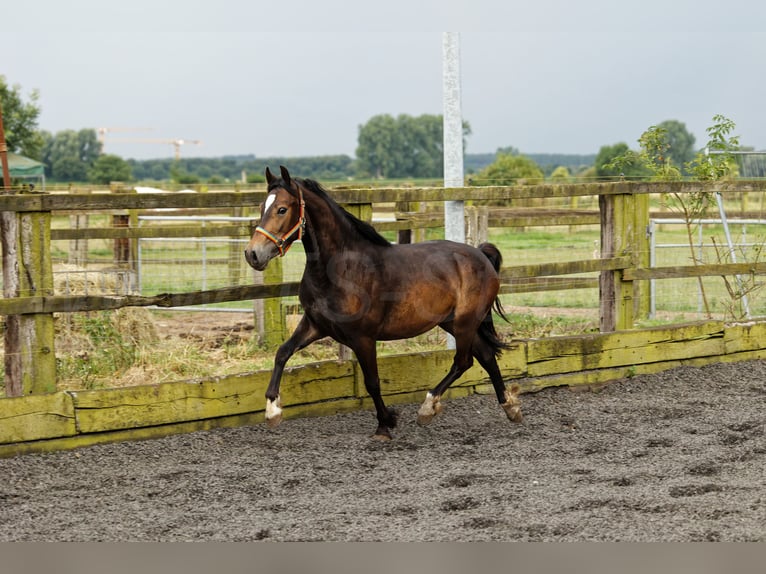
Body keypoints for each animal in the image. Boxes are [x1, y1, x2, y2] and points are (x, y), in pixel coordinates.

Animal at [246, 166, 520, 440]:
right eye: (261, 206)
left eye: (282, 209)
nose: (253, 254)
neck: (340, 269)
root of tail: (481, 254)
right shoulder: (315, 325)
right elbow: (282, 353)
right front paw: (272, 412)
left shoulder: (363, 338)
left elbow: (372, 382)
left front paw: (385, 423)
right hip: (452, 322)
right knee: (485, 355)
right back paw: (510, 408)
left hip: (465, 322)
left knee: (464, 361)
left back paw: (428, 408)